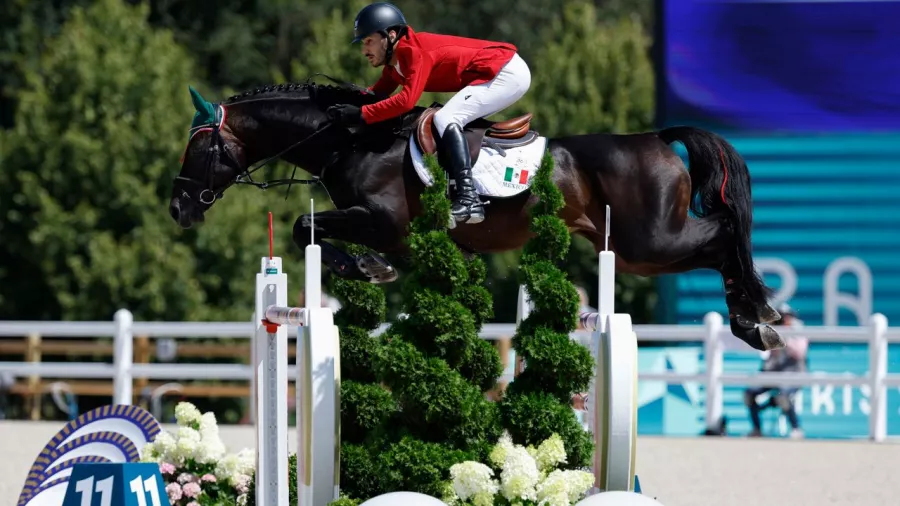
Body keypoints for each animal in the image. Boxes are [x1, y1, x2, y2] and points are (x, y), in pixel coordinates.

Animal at [172, 83, 784, 352]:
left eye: (198, 148)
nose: (179, 209)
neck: (353, 139)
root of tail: (657, 138)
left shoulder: (381, 220)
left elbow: (307, 227)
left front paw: (367, 269)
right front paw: (372, 269)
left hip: (645, 244)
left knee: (724, 233)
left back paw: (754, 317)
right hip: (644, 246)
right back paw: (755, 318)